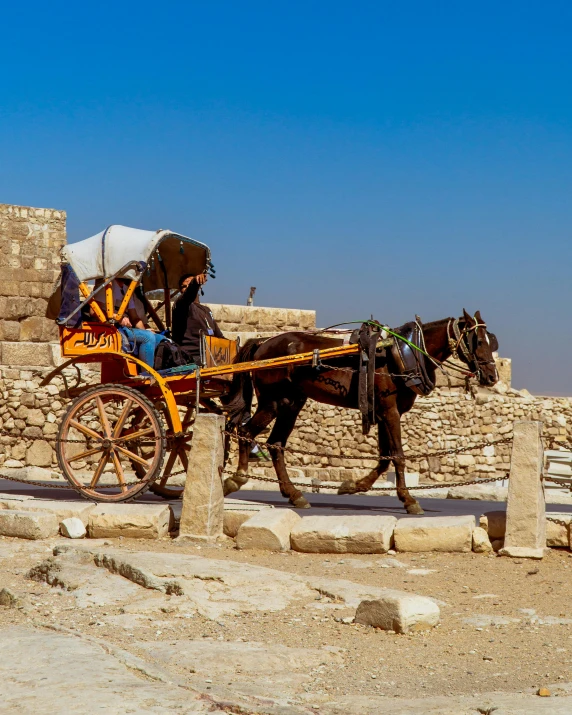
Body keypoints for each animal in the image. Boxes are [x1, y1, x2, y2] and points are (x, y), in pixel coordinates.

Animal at [221, 310, 498, 516]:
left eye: (491, 341)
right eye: (478, 341)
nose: (492, 376)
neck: (405, 352)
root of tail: (262, 343)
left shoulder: (386, 412)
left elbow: (385, 456)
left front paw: (354, 486)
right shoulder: (390, 410)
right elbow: (398, 456)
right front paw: (409, 500)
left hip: (291, 402)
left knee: (276, 444)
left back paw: (294, 494)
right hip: (273, 402)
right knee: (246, 432)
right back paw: (237, 479)